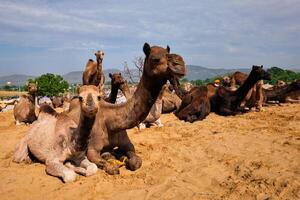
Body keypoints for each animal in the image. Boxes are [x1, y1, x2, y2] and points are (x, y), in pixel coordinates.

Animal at [66, 43, 185, 174]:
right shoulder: (92, 150)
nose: (179, 63)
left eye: (168, 53)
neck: (111, 122)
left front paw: (124, 158)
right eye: (155, 59)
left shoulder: (127, 143)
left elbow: (135, 161)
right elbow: (111, 167)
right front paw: (114, 160)